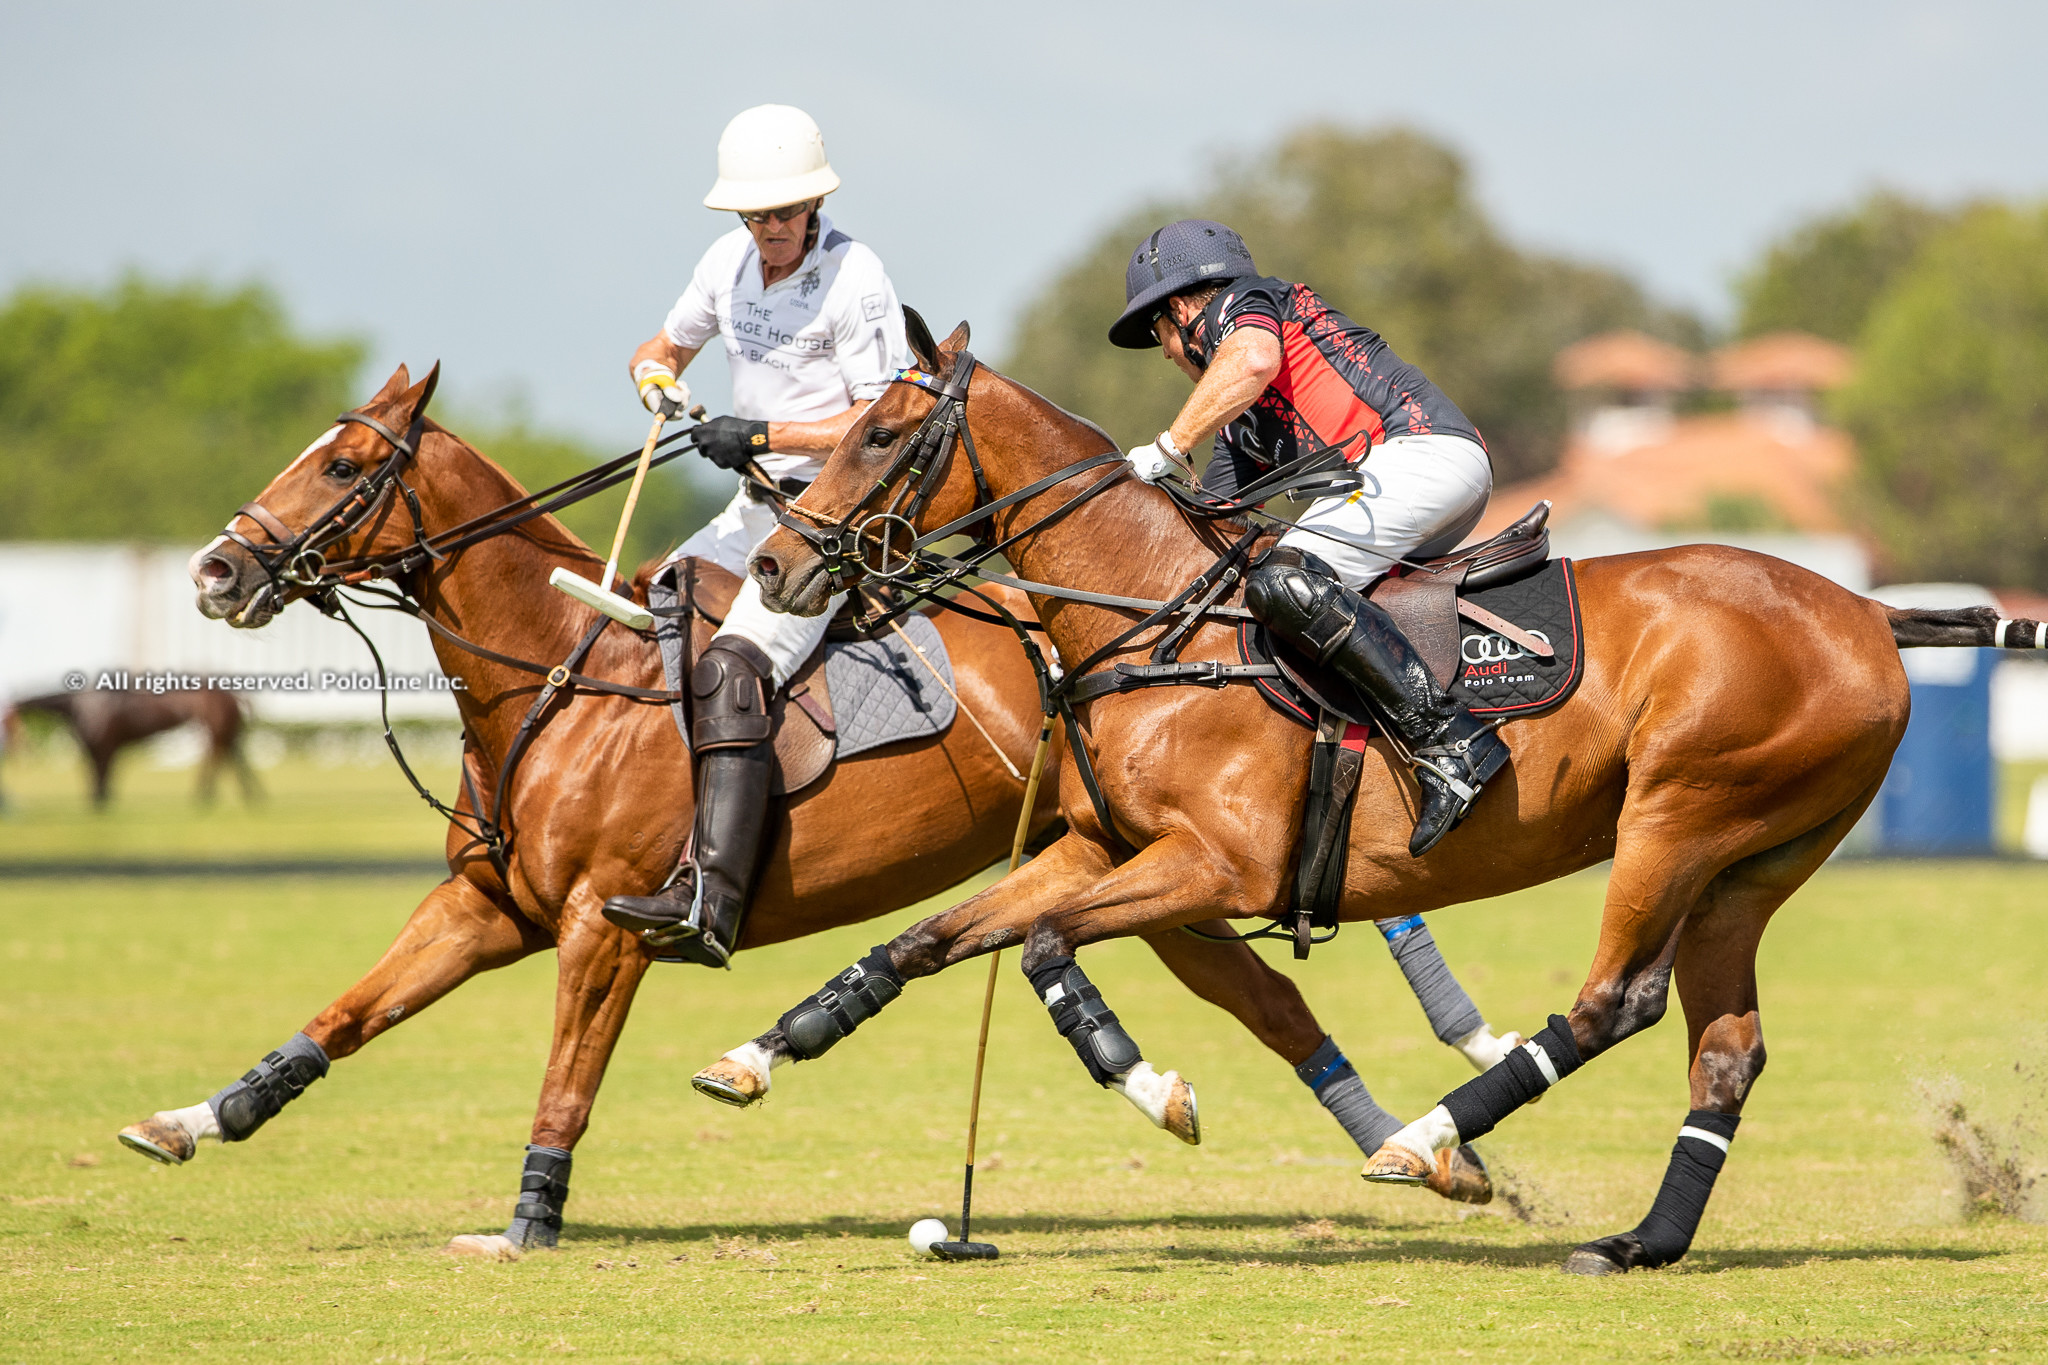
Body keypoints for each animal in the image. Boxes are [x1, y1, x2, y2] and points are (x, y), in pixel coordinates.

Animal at [119, 360, 1507, 1260]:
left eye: (348, 464)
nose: (216, 570)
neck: (557, 669)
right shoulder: (484, 906)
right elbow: (340, 1019)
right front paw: (187, 1120)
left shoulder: (603, 926)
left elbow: (566, 1080)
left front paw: (525, 1224)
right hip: (1140, 859)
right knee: (1264, 997)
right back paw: (1414, 1152)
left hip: (1163, 857)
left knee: (1252, 993)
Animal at [712, 325, 2007, 1277]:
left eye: (881, 433)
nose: (775, 567)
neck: (1155, 617)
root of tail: (1863, 610)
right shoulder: (1094, 848)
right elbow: (925, 941)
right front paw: (759, 1052)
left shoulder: (1211, 865)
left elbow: (1040, 952)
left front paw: (1149, 1082)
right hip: (1751, 864)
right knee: (1724, 1050)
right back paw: (1639, 1242)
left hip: (1677, 819)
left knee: (1612, 1004)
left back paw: (1428, 1144)